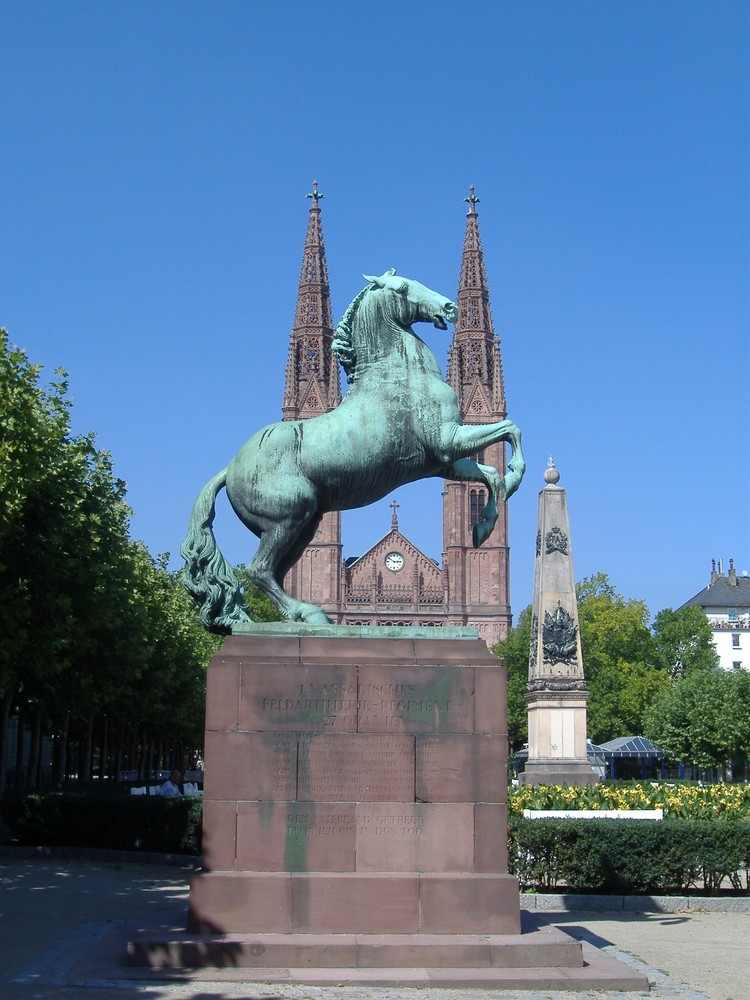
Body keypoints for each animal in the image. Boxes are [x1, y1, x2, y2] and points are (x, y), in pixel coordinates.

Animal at [182, 272, 524, 632]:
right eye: (404, 288)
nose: (449, 306)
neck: (398, 374)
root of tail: (232, 465)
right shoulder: (448, 441)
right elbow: (511, 431)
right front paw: (509, 484)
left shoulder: (444, 460)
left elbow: (492, 471)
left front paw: (486, 520)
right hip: (290, 517)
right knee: (258, 568)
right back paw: (309, 613)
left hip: (302, 524)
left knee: (271, 571)